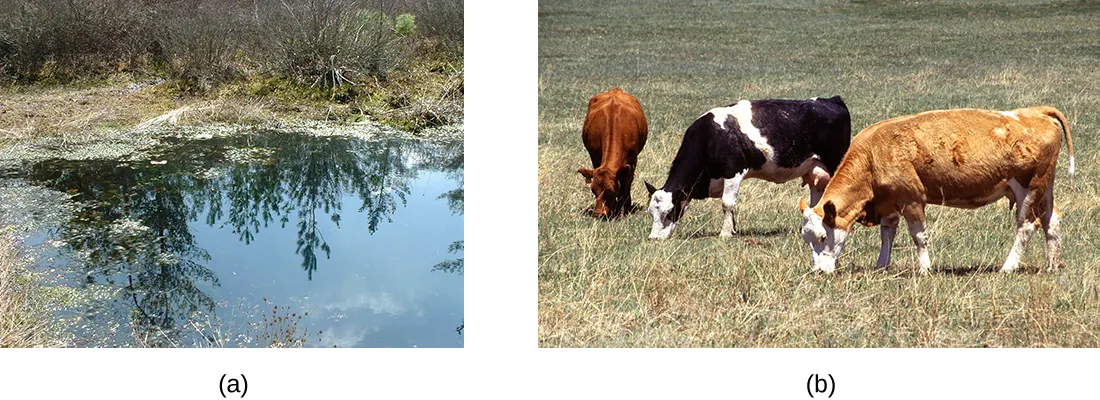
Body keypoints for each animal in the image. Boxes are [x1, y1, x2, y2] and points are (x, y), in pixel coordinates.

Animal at [578, 88, 649, 218]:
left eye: (610, 190)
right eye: (593, 190)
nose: (598, 214)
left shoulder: (632, 161)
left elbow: (626, 183)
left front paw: (623, 208)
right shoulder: (595, 157)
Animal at [645, 96, 851, 239]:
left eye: (669, 212)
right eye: (651, 213)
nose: (654, 238)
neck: (710, 137)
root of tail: (832, 100)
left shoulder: (733, 172)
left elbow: (727, 203)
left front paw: (725, 234)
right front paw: (733, 229)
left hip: (836, 162)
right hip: (814, 170)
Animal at [798, 106, 1075, 275]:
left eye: (822, 237)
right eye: (806, 238)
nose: (818, 271)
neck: (874, 154)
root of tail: (1034, 112)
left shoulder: (912, 200)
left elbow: (919, 236)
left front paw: (924, 268)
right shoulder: (889, 203)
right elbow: (887, 235)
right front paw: (881, 265)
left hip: (1029, 189)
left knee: (1026, 226)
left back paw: (1008, 266)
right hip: (1045, 190)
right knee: (1052, 221)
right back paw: (1053, 265)